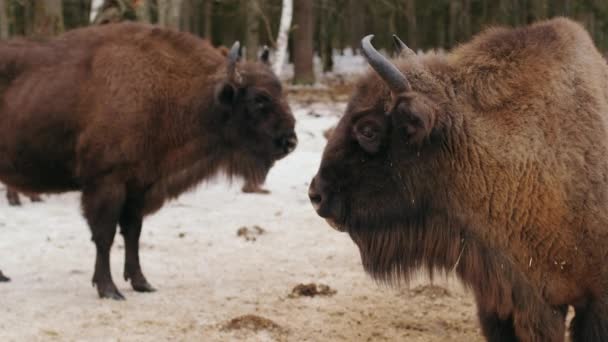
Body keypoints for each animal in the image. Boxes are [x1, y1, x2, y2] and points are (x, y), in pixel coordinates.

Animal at [0, 22, 296, 300]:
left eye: (280, 90)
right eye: (259, 98)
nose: (290, 141)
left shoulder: (139, 185)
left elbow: (133, 233)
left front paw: (142, 283)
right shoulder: (107, 183)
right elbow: (104, 236)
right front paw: (109, 290)